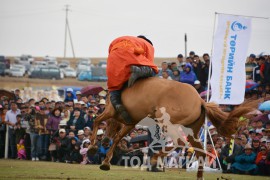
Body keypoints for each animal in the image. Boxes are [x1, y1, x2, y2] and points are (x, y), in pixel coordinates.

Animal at [88, 77, 251, 180]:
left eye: (109, 123)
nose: (104, 141)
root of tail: (200, 101)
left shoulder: (111, 112)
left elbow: (97, 120)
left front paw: (92, 147)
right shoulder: (130, 124)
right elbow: (117, 138)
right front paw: (106, 162)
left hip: (168, 124)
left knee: (179, 142)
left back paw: (155, 158)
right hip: (192, 131)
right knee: (201, 152)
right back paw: (199, 176)